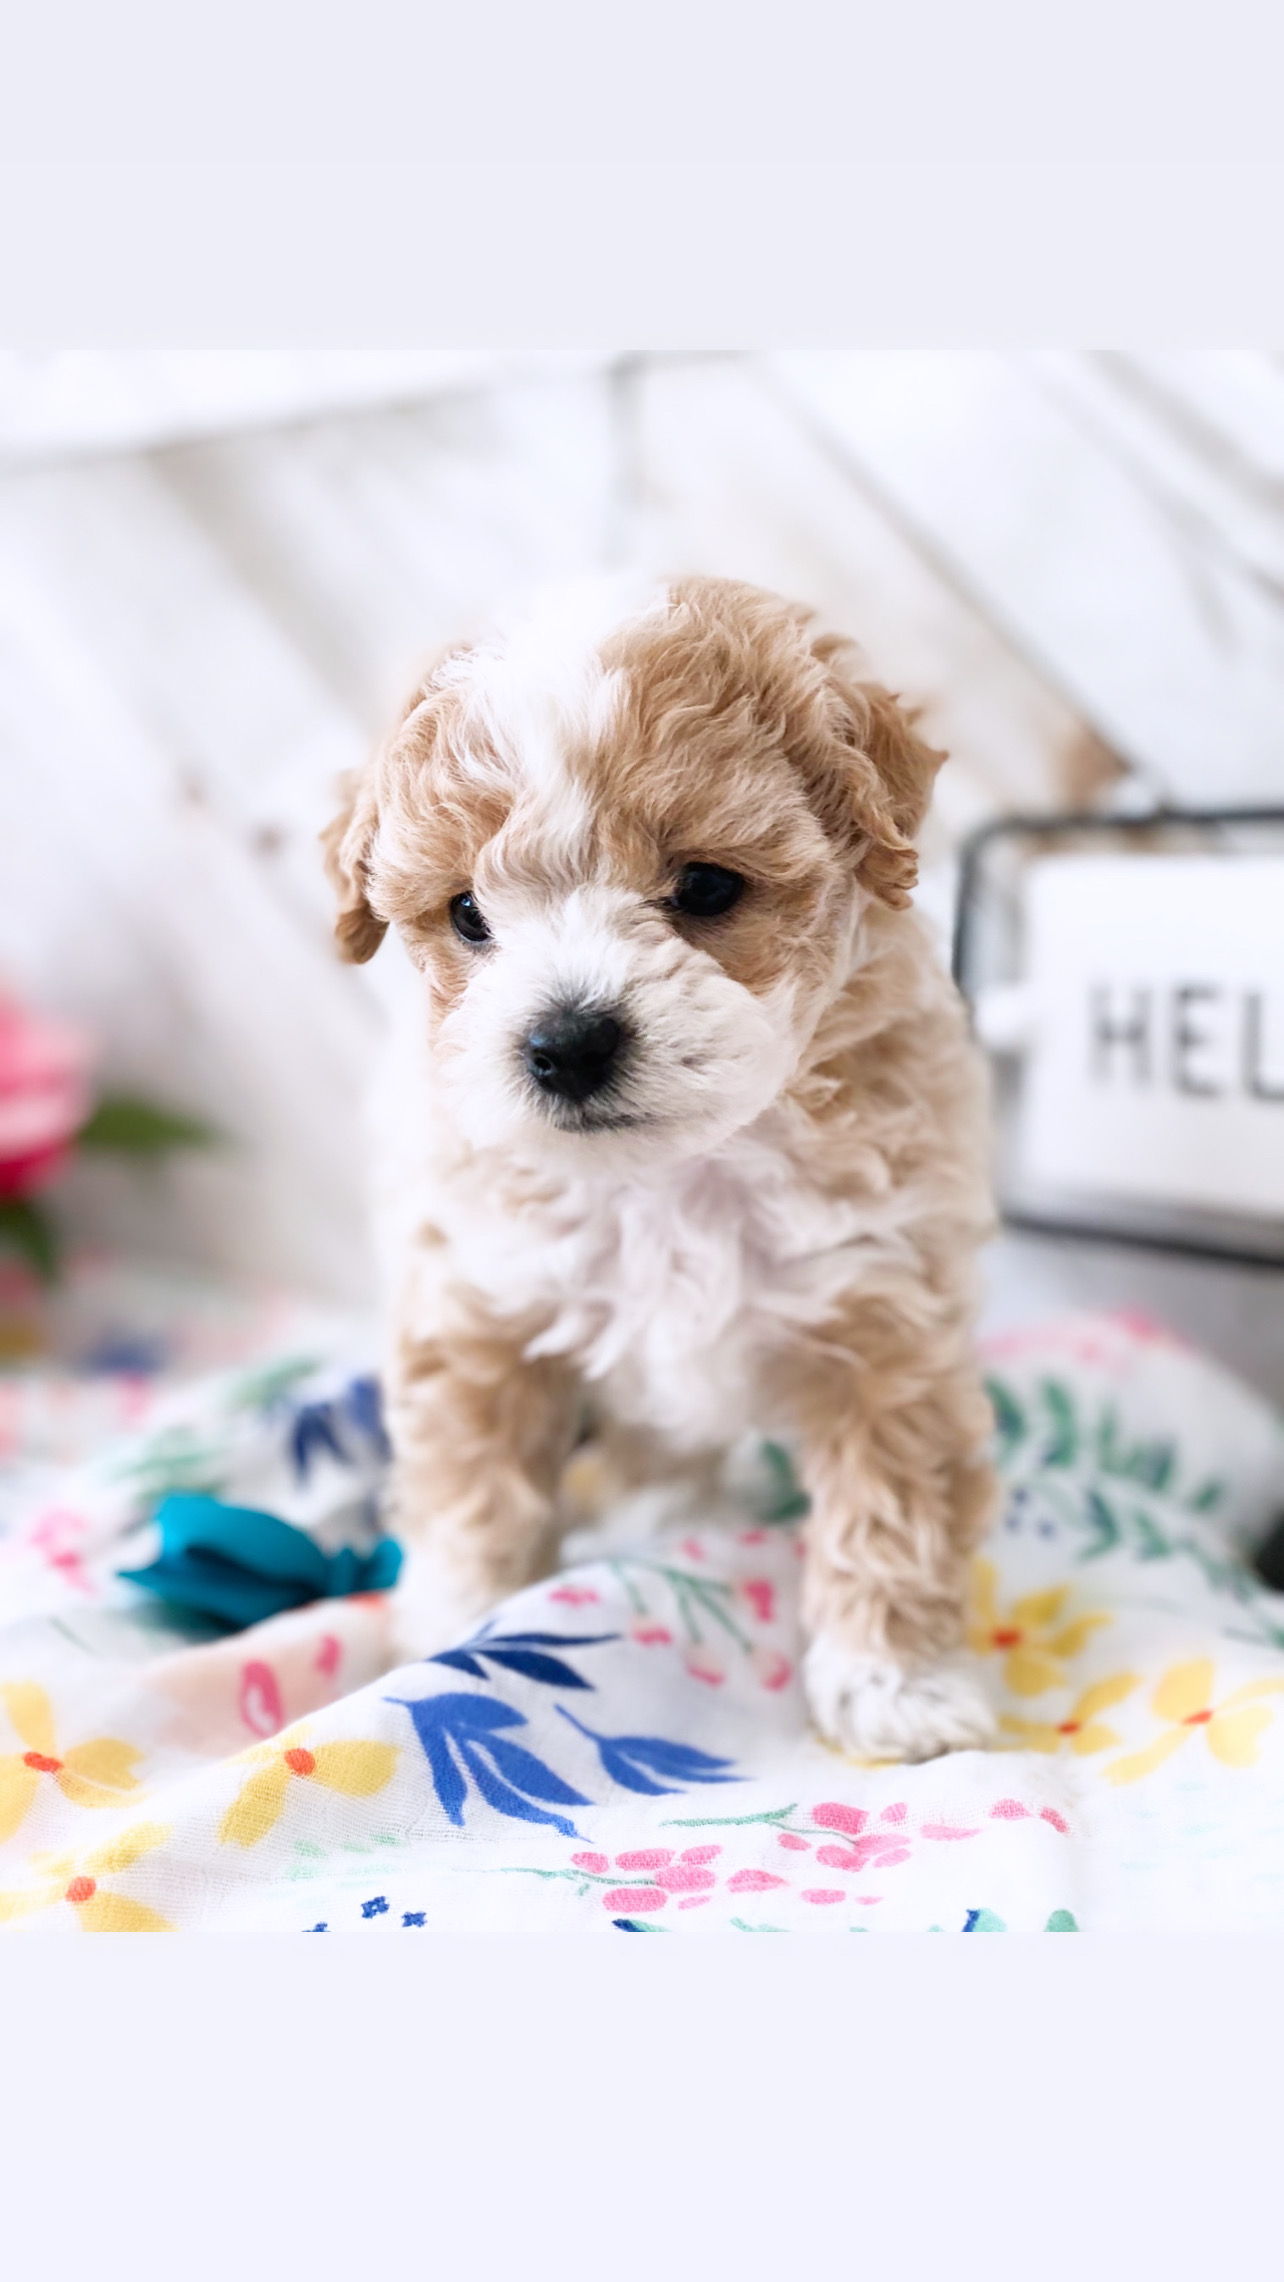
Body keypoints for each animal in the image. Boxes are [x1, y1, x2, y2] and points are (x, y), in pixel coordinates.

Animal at [326, 570, 998, 1761]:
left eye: (707, 888)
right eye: (467, 913)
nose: (566, 1042)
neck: (677, 1175)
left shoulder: (889, 1306)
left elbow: (894, 1497)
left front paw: (897, 1684)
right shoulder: (477, 1301)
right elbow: (473, 1488)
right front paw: (455, 1625)